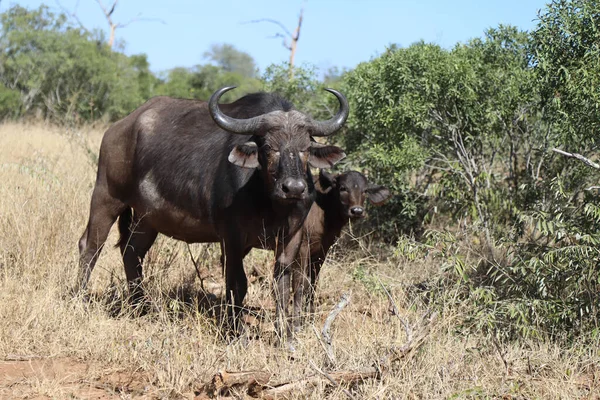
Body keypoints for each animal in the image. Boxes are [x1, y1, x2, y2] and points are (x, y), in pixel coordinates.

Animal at [76, 86, 346, 338]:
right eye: (269, 147)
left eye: (306, 148)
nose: (294, 188)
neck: (269, 204)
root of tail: (119, 129)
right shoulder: (232, 238)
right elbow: (238, 283)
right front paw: (237, 332)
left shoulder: (291, 238)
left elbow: (283, 284)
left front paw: (285, 334)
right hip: (105, 197)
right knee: (90, 246)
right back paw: (79, 298)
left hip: (147, 219)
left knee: (132, 252)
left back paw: (140, 305)